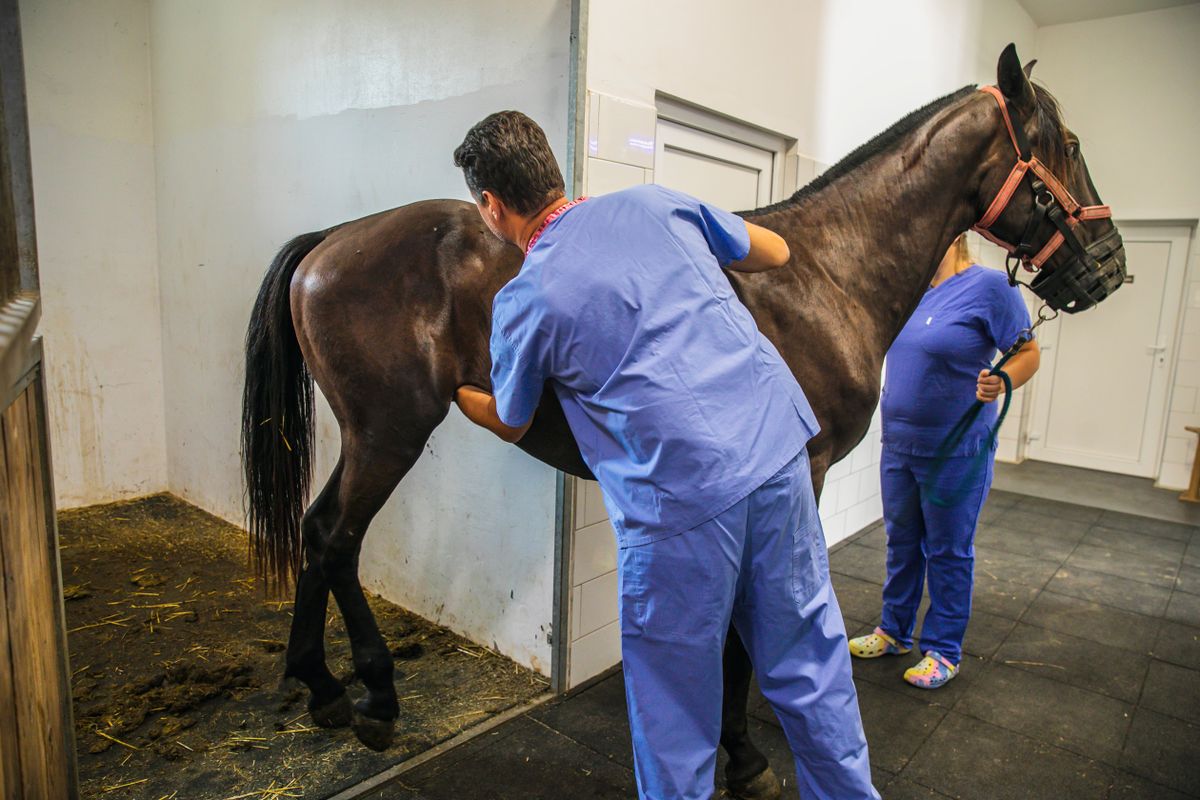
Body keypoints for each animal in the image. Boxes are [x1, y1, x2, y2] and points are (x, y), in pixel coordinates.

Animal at [238, 45, 1118, 796]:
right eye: (1069, 141)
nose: (1108, 265)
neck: (825, 274)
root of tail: (334, 241)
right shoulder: (796, 477)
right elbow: (744, 633)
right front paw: (746, 758)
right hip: (389, 435)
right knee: (336, 540)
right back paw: (375, 699)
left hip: (367, 438)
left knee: (316, 533)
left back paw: (320, 688)